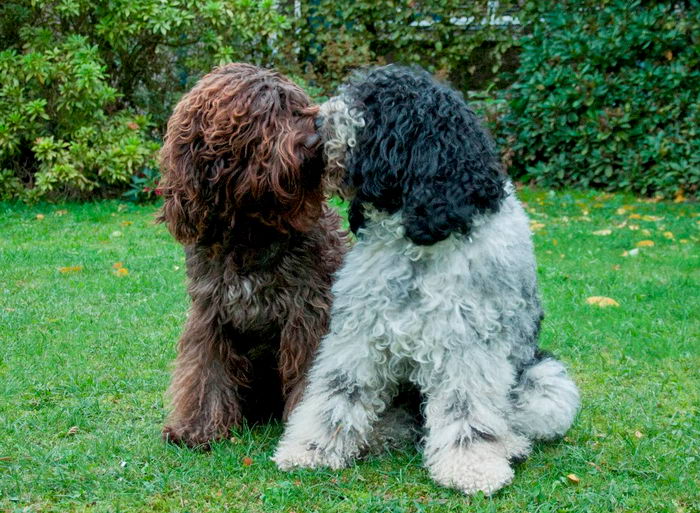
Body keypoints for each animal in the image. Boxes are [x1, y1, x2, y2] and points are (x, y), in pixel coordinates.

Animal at [157, 62, 346, 446]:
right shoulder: (210, 316)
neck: (250, 231)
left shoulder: (308, 314)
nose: (314, 144)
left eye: (297, 109)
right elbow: (205, 372)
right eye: (264, 118)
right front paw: (197, 427)